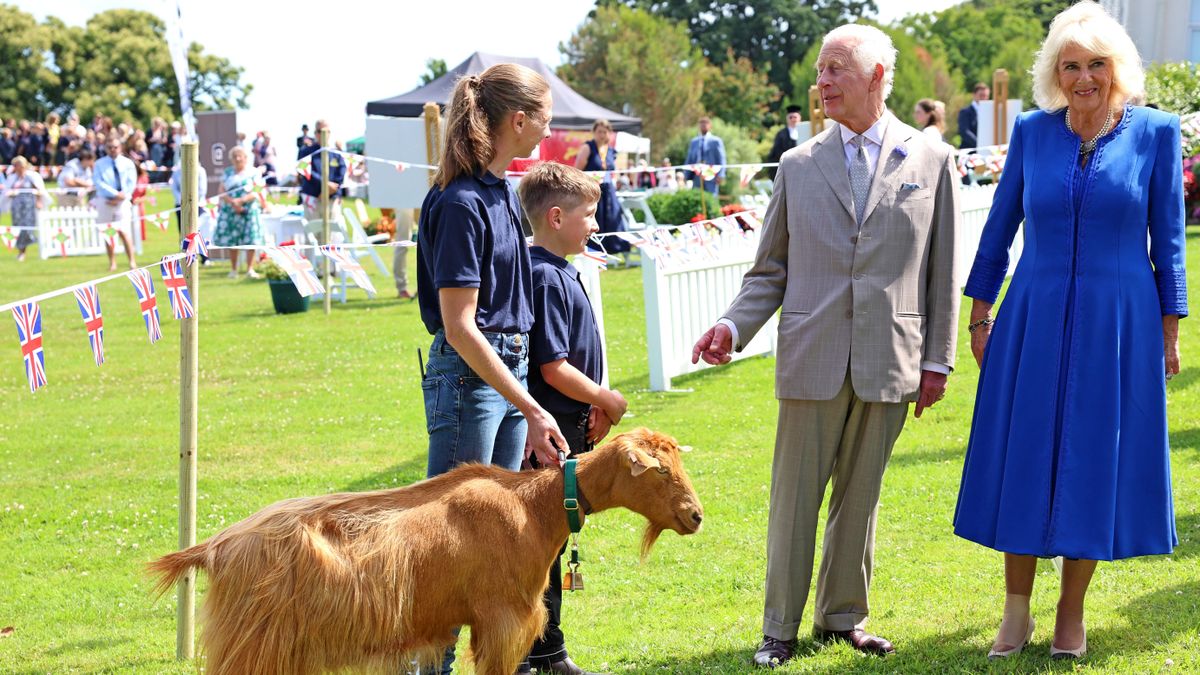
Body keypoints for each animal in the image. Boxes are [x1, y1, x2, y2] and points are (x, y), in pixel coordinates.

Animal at [147, 425, 700, 672]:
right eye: (660, 471)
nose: (695, 515)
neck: (532, 506)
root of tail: (216, 544)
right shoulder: (502, 620)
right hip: (256, 642)